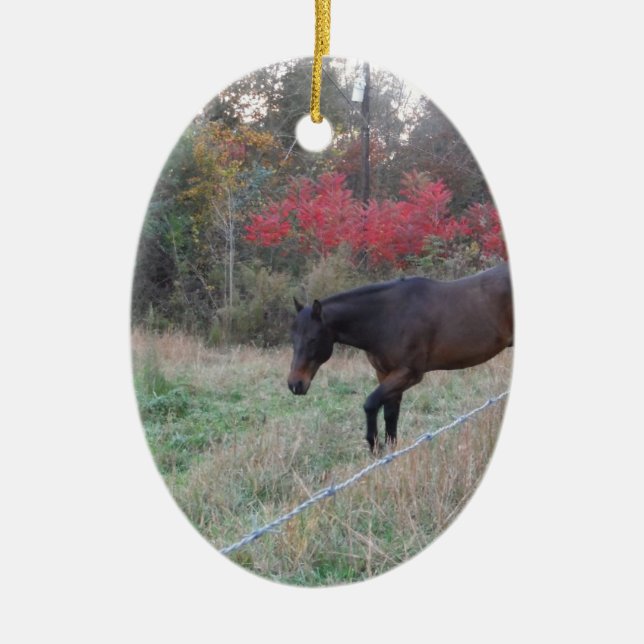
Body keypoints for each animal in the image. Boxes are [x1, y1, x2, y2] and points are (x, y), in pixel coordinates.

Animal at [287, 263, 513, 452]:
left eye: (313, 339)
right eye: (293, 338)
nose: (295, 384)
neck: (387, 318)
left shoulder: (408, 373)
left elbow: (371, 404)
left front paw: (375, 445)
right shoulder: (385, 373)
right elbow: (390, 414)